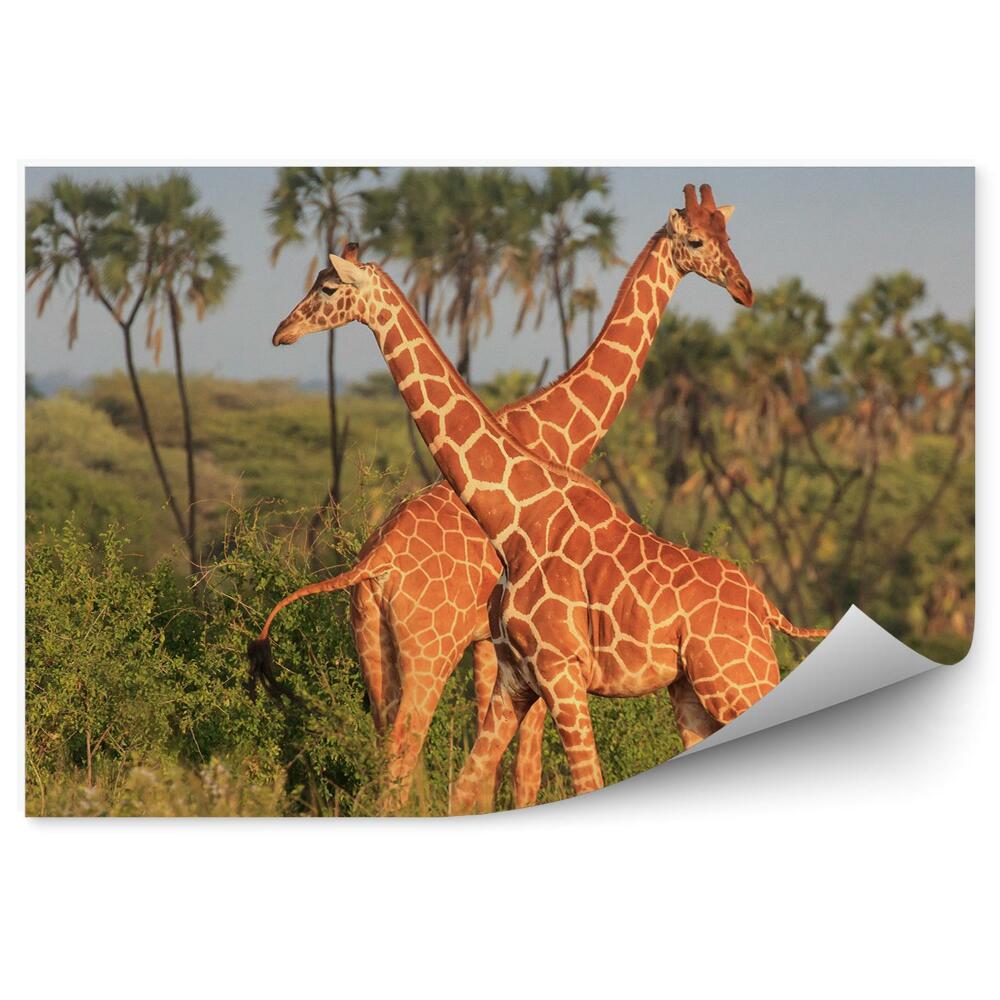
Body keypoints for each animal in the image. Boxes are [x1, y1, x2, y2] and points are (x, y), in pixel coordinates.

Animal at [252, 185, 756, 811]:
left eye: (727, 236)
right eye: (698, 241)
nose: (744, 288)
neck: (556, 432)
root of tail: (373, 565)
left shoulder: (490, 647)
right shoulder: (513, 649)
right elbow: (525, 768)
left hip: (372, 643)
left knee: (385, 750)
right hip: (428, 649)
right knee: (402, 753)